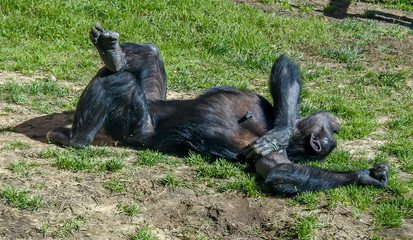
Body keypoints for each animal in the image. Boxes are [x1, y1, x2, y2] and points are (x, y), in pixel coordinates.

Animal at [46, 25, 388, 195]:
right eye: (331, 128)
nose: (336, 122)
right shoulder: (264, 106)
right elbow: (283, 73)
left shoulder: (265, 155)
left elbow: (279, 172)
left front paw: (362, 177)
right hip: (153, 93)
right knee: (148, 54)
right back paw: (113, 52)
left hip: (132, 126)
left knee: (118, 81)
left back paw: (74, 137)